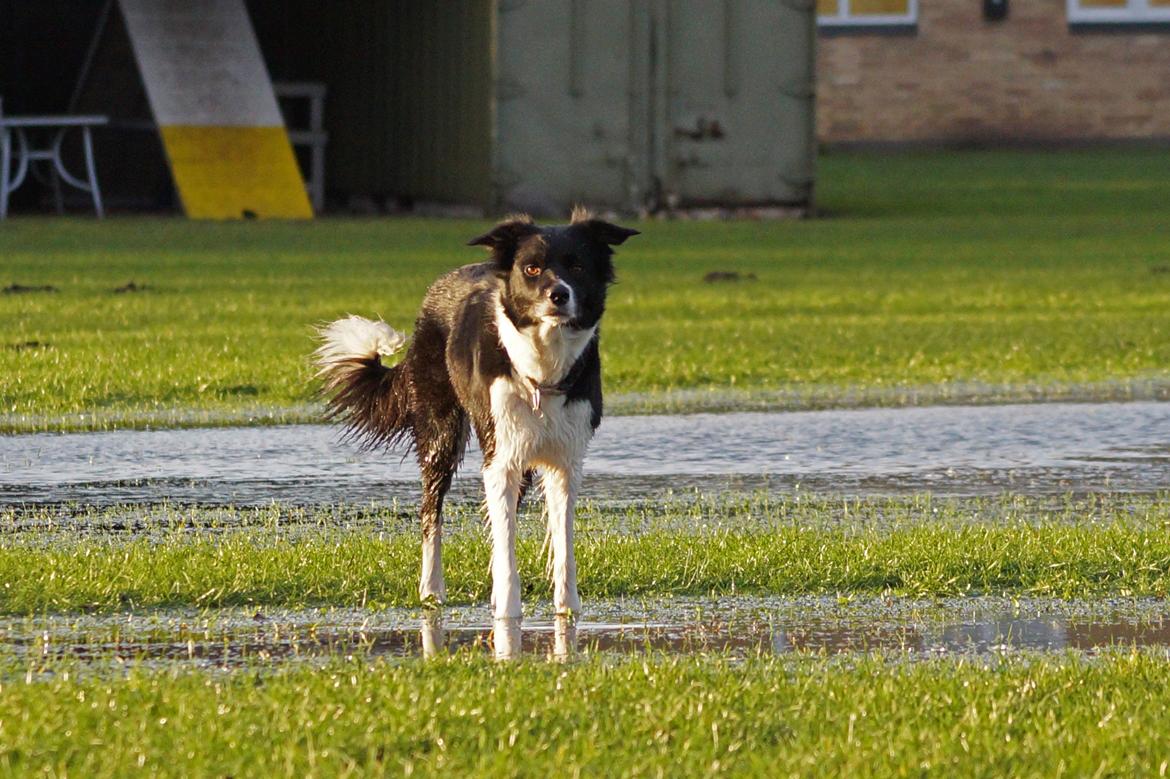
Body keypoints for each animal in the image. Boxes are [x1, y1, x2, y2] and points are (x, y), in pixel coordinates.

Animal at [315, 205, 636, 617]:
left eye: (577, 265)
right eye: (532, 268)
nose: (558, 295)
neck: (542, 369)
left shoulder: (564, 462)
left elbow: (562, 544)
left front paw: (567, 612)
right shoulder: (500, 461)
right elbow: (505, 546)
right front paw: (507, 614)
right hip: (441, 436)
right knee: (430, 513)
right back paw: (431, 590)